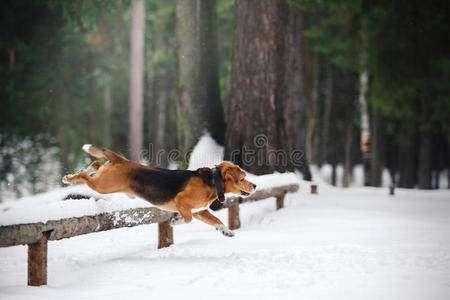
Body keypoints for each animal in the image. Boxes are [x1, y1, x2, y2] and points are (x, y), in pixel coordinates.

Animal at [62, 145, 256, 237]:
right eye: (242, 179)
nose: (254, 186)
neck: (212, 181)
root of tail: (121, 160)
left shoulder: (200, 211)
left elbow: (217, 220)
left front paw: (226, 232)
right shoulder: (183, 203)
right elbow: (187, 219)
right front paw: (175, 221)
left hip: (103, 179)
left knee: (95, 164)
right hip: (103, 186)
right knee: (85, 175)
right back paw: (69, 178)